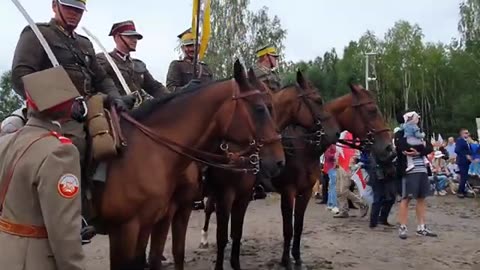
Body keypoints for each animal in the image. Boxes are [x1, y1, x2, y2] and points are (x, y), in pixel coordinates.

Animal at [93, 61, 284, 270]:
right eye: (260, 108)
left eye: (271, 106)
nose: (279, 160)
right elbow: (219, 237)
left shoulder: (239, 197)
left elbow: (229, 235)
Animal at [197, 70, 340, 268]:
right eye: (318, 100)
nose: (336, 132)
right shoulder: (284, 192)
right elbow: (287, 228)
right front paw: (287, 261)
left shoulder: (302, 192)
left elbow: (296, 226)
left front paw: (296, 258)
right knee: (208, 210)